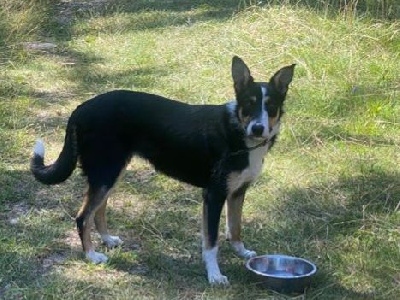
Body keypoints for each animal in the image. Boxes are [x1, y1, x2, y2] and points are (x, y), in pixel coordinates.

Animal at [31, 56, 294, 286]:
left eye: (271, 107)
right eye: (249, 104)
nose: (258, 128)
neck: (238, 132)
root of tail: (81, 108)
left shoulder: (238, 192)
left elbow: (236, 226)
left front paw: (241, 251)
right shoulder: (214, 195)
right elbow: (211, 242)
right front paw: (214, 275)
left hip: (111, 173)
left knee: (98, 211)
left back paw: (107, 240)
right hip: (106, 172)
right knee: (82, 216)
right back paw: (92, 256)